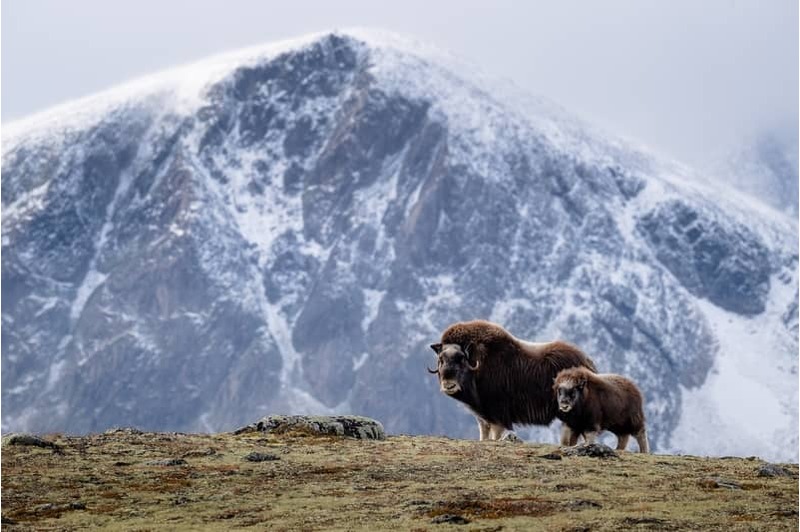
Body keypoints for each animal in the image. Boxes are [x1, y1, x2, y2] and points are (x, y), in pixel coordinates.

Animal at [428, 320, 596, 440]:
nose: (449, 385)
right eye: (441, 359)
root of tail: (587, 361)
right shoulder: (483, 417)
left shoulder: (498, 416)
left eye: (461, 358)